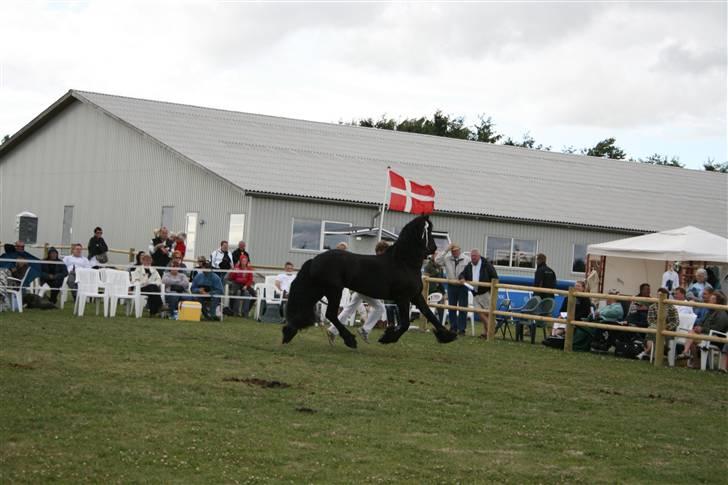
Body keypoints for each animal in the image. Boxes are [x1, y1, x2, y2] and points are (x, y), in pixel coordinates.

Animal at [282, 216, 458, 348]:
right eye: (428, 230)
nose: (434, 248)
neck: (403, 263)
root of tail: (315, 260)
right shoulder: (402, 298)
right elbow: (406, 323)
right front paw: (387, 338)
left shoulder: (415, 296)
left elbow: (429, 313)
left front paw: (448, 335)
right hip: (333, 290)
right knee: (331, 314)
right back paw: (350, 340)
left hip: (319, 290)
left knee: (306, 308)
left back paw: (289, 333)